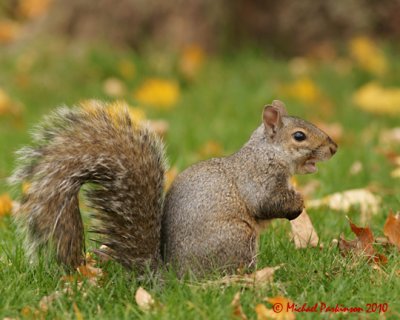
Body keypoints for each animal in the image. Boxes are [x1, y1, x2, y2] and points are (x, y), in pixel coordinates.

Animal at [10, 99, 338, 276]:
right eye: (299, 136)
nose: (333, 148)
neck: (268, 152)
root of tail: (173, 275)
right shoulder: (259, 180)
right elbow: (266, 203)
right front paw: (297, 203)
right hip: (237, 238)